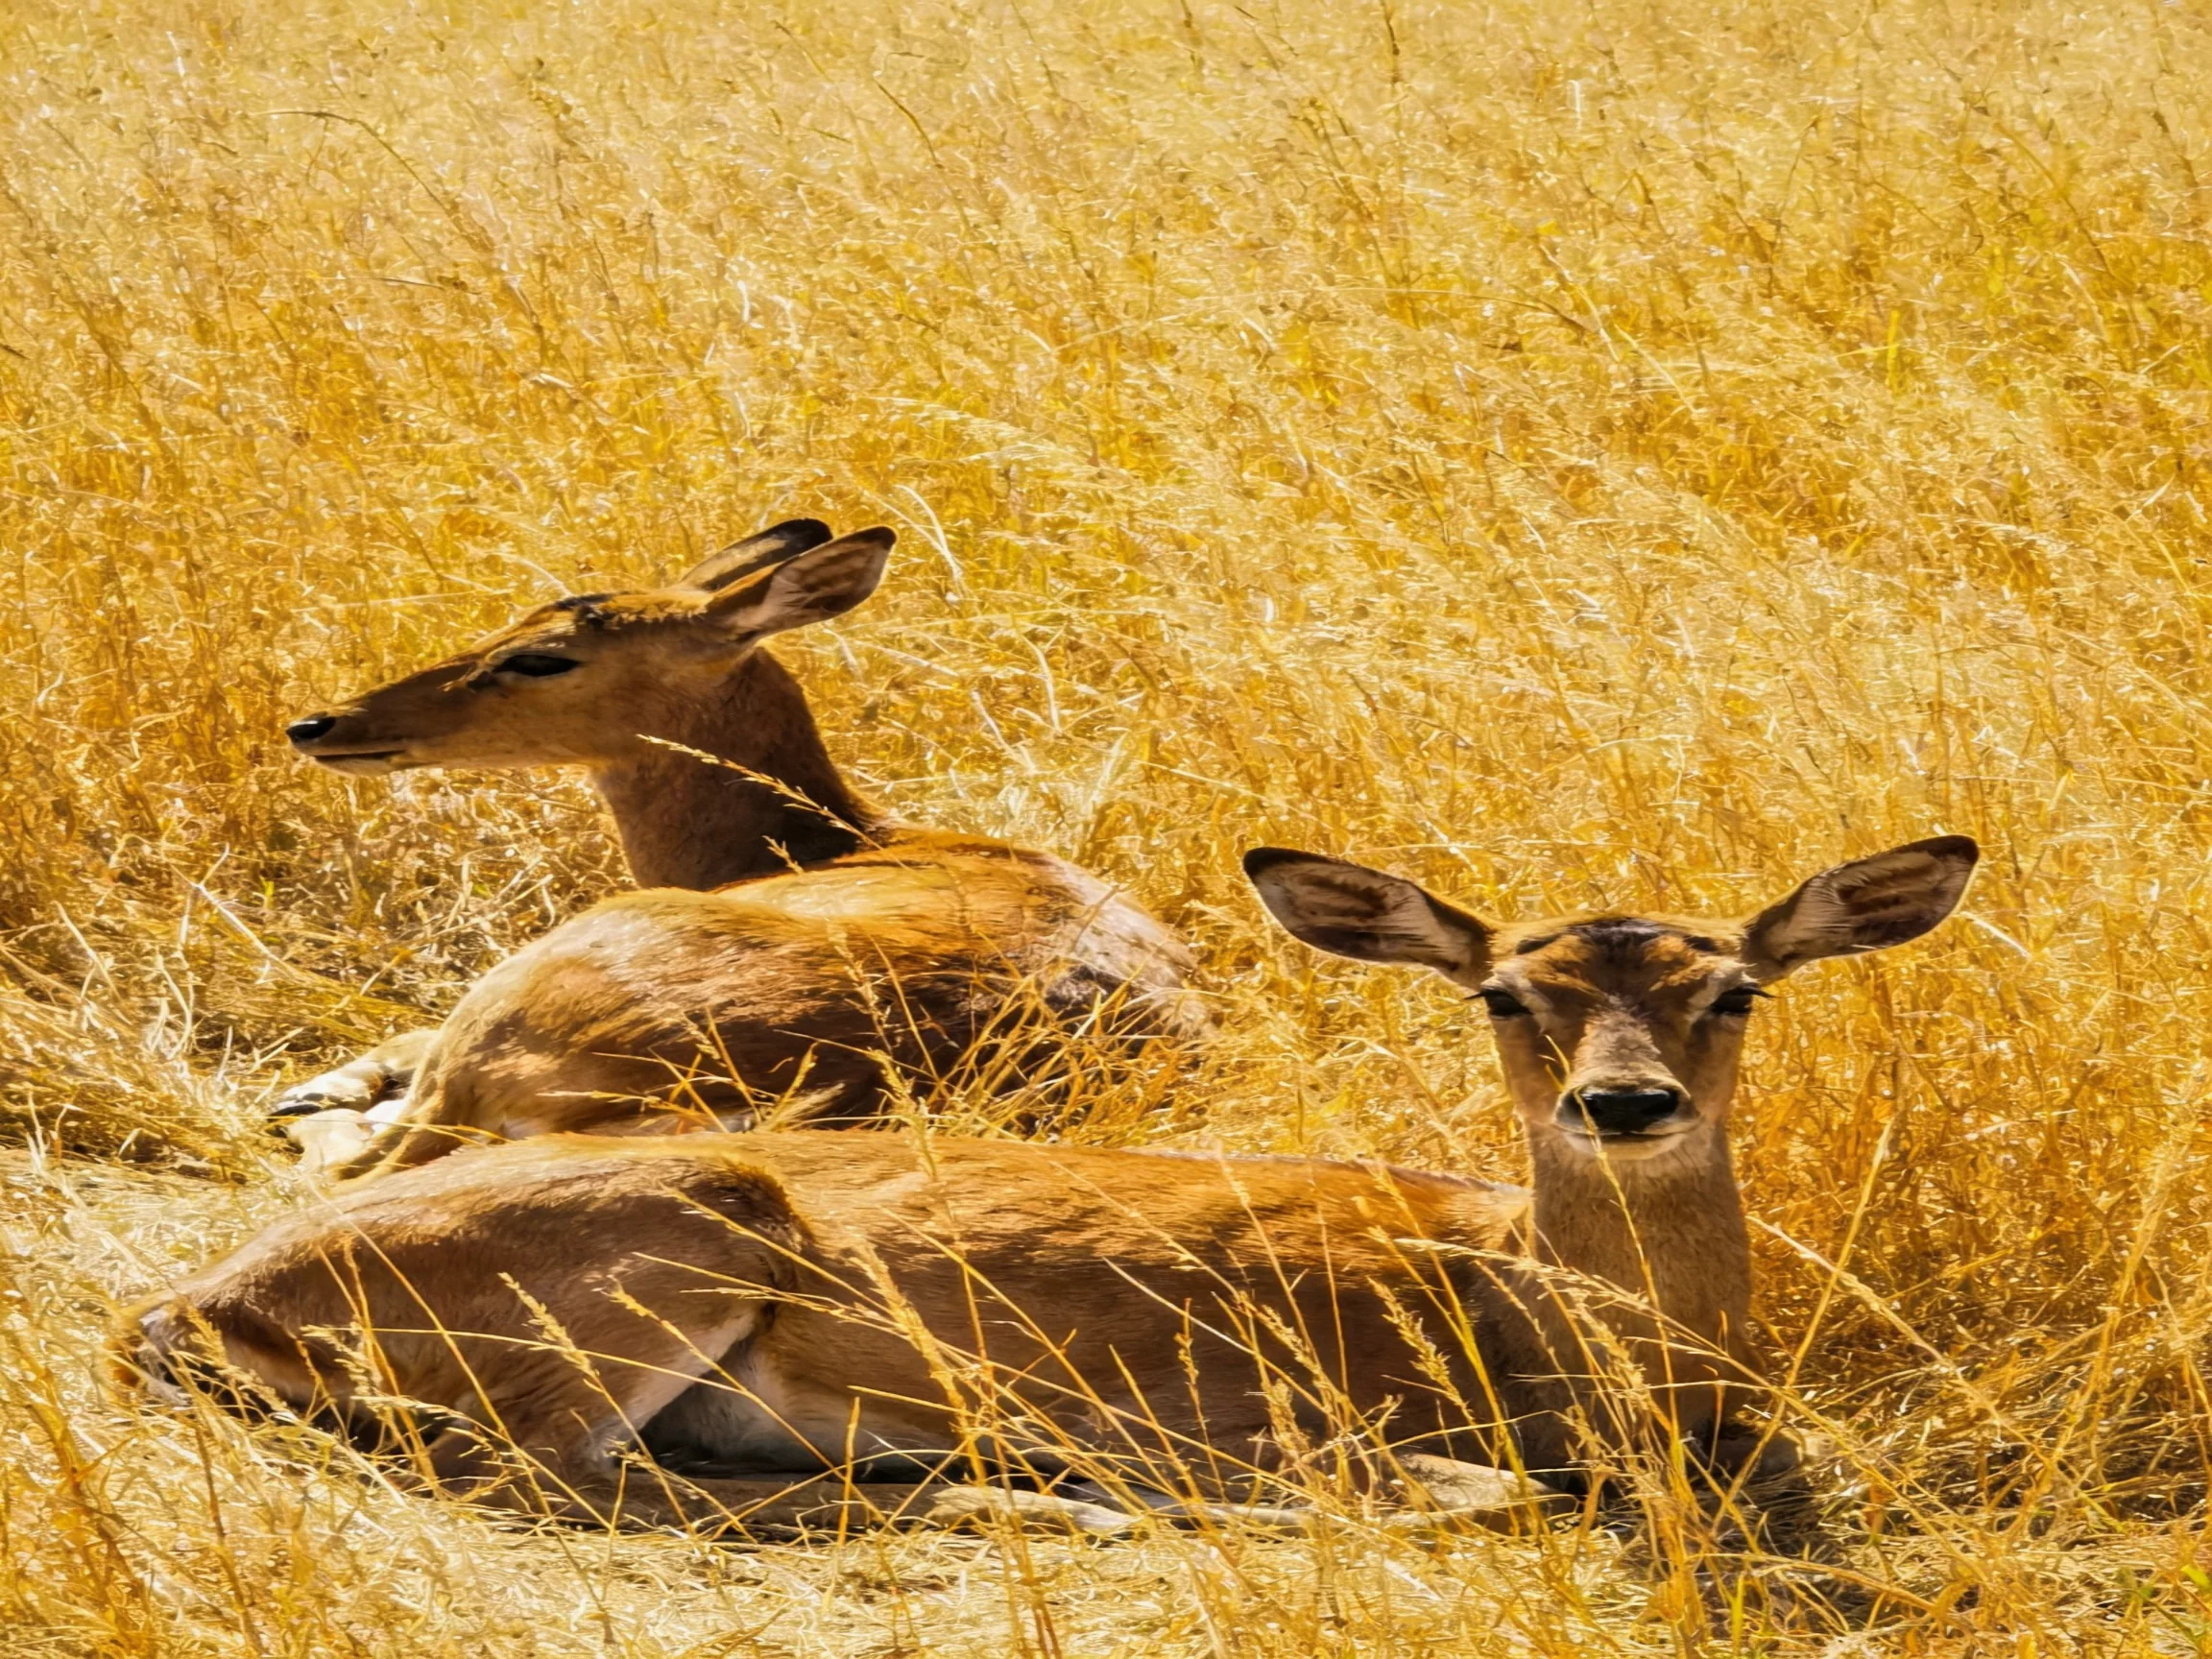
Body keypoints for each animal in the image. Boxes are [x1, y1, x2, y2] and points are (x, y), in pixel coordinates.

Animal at [117, 835, 1977, 1534]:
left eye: (1734, 988)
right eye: (1505, 992)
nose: (1624, 1099)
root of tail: (201, 1300)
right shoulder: (1290, 1410)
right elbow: (1466, 1492)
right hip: (658, 1246)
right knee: (572, 1472)